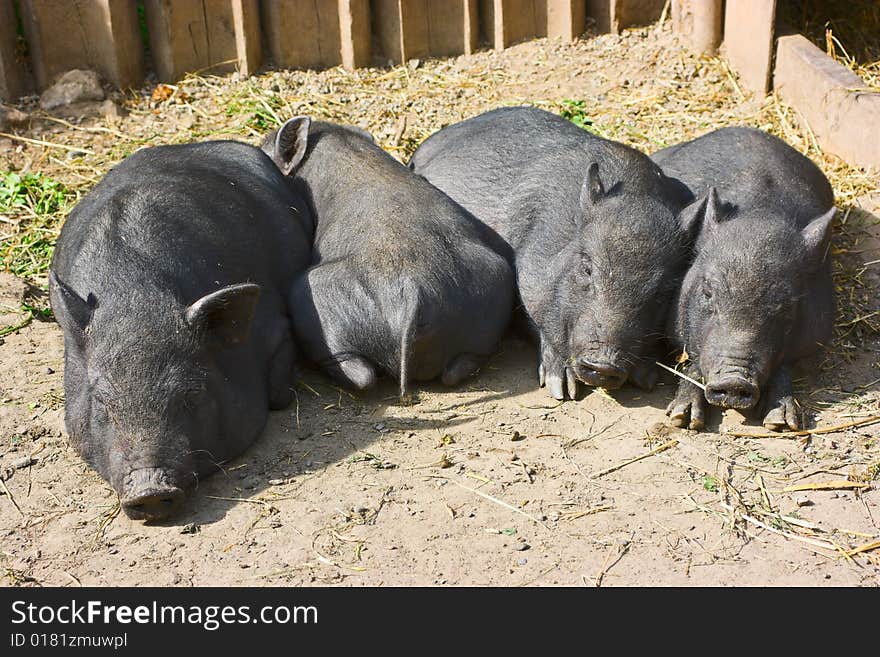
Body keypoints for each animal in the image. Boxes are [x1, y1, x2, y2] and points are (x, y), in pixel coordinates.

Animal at [652, 127, 840, 430]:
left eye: (787, 306)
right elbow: (690, 360)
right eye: (707, 292)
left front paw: (780, 423)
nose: (734, 380)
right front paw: (683, 419)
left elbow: (785, 365)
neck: (762, 214)